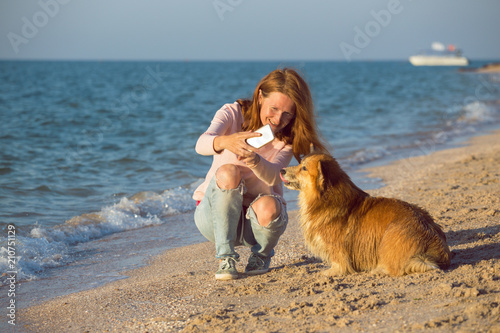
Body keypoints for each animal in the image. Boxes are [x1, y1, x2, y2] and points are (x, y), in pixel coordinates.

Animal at [280, 151, 452, 274]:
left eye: (303, 168)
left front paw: (326, 273)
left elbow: (339, 266)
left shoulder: (338, 252)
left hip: (389, 237)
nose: (281, 170)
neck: (325, 198)